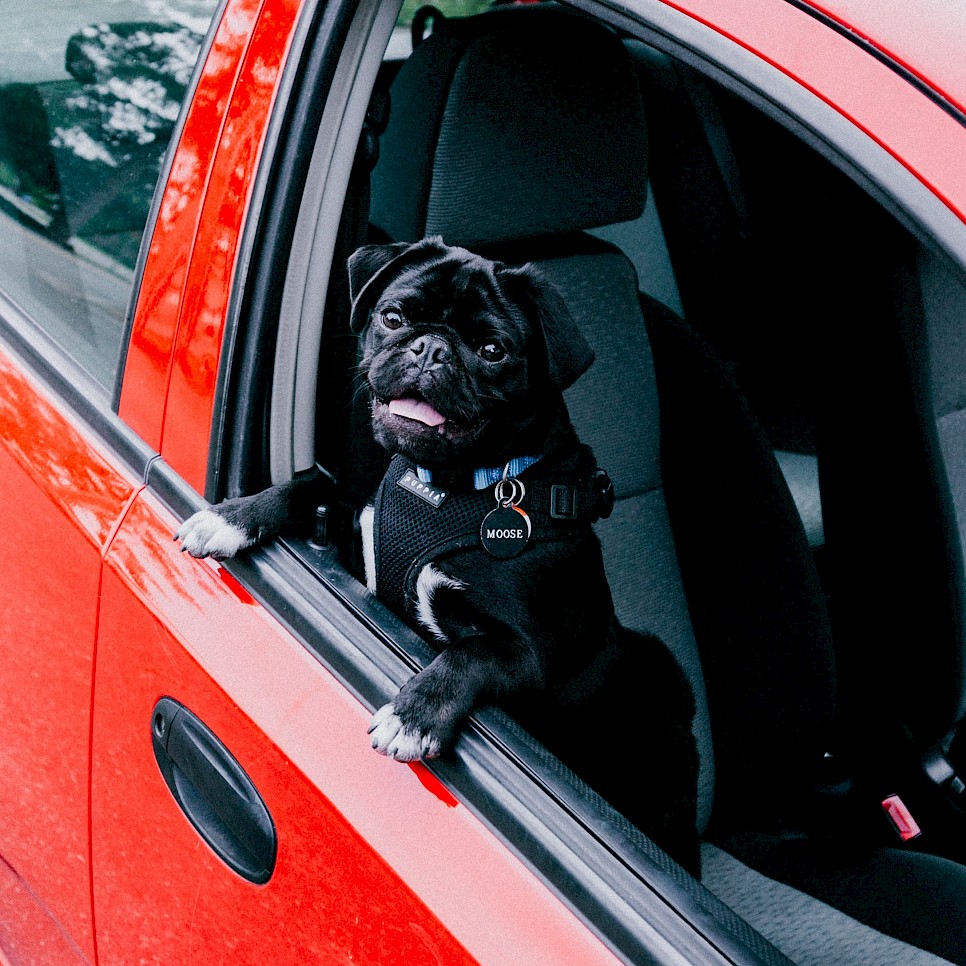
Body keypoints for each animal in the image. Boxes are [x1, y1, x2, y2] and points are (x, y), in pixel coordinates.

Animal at [178, 238, 700, 872]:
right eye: (393, 317)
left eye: (493, 350)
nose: (430, 347)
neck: (444, 486)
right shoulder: (354, 526)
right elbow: (309, 486)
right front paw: (233, 516)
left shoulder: (527, 654)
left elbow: (467, 655)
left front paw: (414, 715)